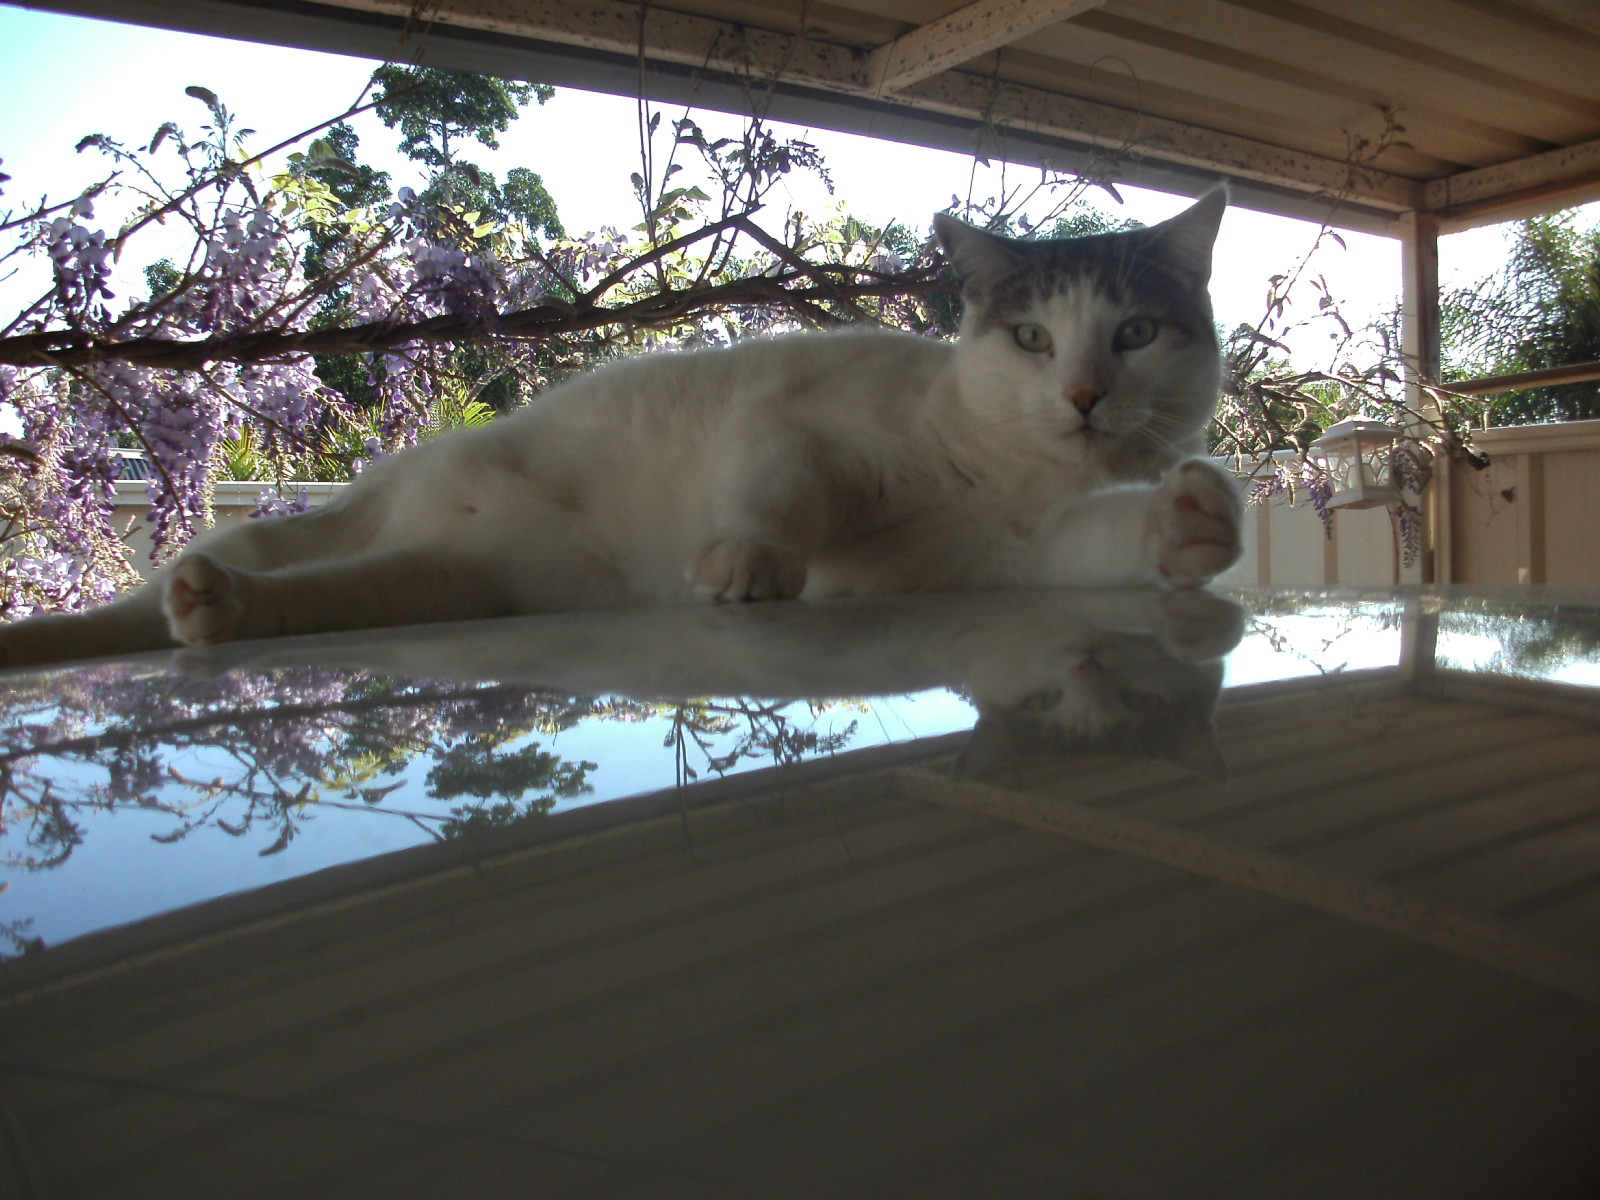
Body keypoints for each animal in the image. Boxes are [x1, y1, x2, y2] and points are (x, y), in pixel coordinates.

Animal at [0, 188, 1242, 669]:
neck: (1000, 471)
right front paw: (744, 567)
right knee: (191, 589)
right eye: (1032, 339)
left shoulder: (1001, 556)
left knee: (286, 603)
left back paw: (218, 609)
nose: (1082, 395)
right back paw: (173, 600)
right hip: (323, 532)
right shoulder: (799, 431)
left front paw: (1185, 525)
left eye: (1133, 333)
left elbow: (1102, 545)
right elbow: (776, 500)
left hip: (439, 583)